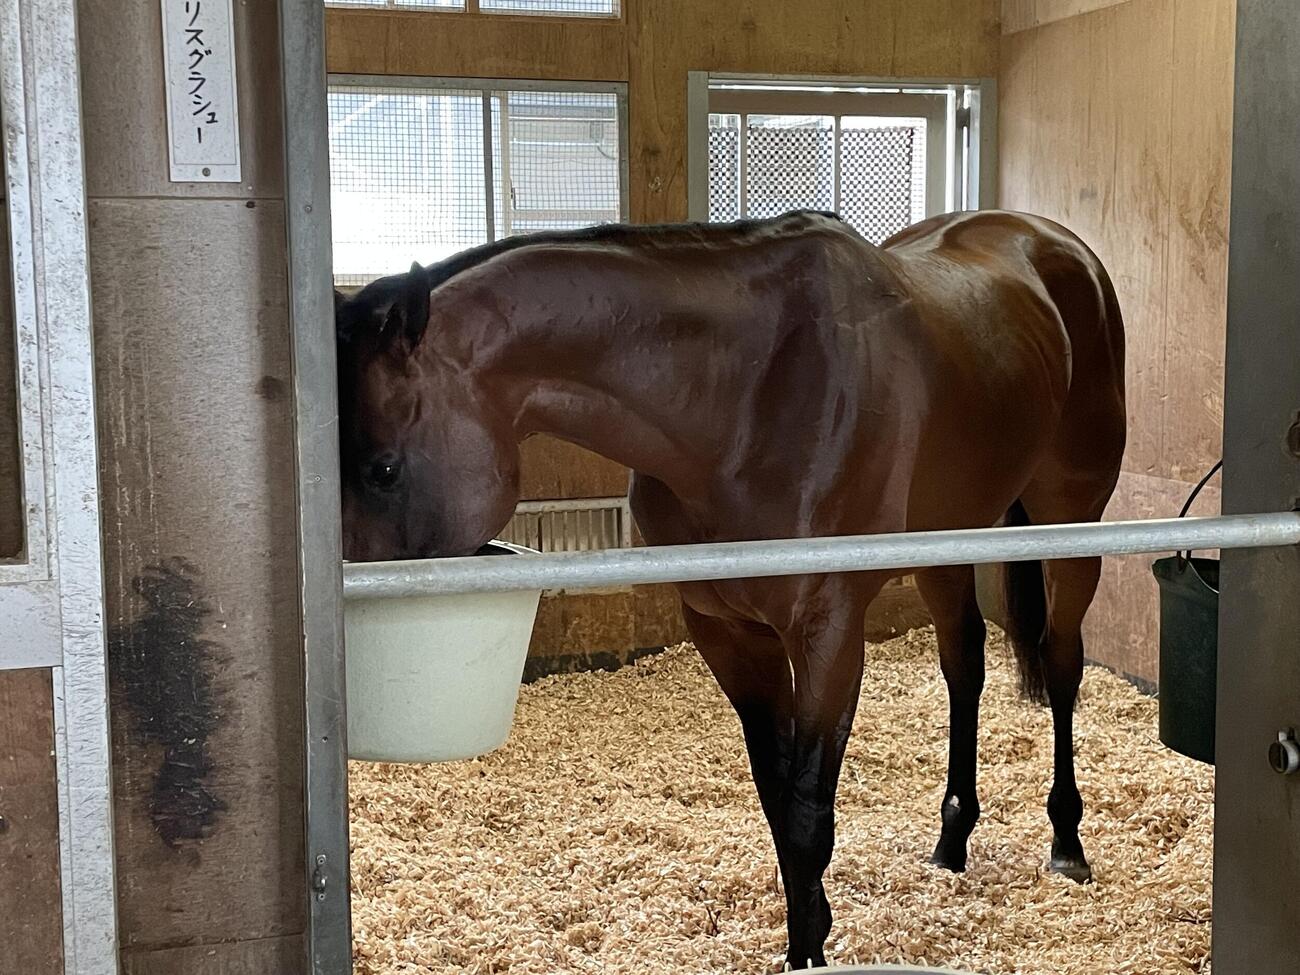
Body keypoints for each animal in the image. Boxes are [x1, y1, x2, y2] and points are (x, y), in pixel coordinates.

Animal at [334, 209, 1127, 970]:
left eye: (381, 468)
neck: (746, 397)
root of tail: (1054, 244)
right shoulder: (728, 632)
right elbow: (777, 803)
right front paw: (812, 929)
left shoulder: (829, 634)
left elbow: (807, 818)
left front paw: (809, 950)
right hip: (949, 541)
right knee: (965, 666)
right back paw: (953, 838)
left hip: (1072, 521)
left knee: (1061, 662)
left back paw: (1067, 843)